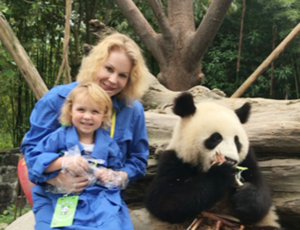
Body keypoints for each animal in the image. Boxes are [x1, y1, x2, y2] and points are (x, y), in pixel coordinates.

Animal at [145, 92, 282, 229]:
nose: (231, 160)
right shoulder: (174, 160)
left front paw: (245, 196)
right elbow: (166, 201)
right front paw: (220, 174)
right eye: (216, 138)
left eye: (236, 141)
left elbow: (262, 193)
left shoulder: (247, 160)